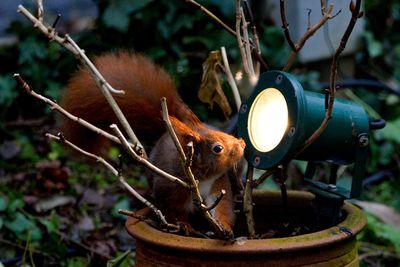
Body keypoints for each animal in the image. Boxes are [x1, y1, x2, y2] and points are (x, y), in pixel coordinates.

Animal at [60, 51, 245, 236]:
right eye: (217, 148)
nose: (242, 145)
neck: (202, 177)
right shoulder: (170, 187)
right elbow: (172, 210)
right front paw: (184, 225)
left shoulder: (218, 184)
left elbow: (223, 207)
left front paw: (225, 228)